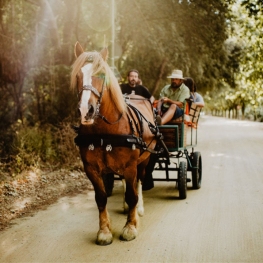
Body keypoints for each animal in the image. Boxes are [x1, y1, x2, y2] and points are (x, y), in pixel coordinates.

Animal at [70, 42, 158, 246]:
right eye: (78, 74)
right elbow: (101, 198)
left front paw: (130, 226)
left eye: (102, 74)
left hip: (144, 159)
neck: (105, 131)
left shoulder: (131, 165)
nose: (86, 110)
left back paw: (138, 208)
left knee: (139, 181)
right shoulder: (91, 168)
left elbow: (133, 194)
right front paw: (104, 231)